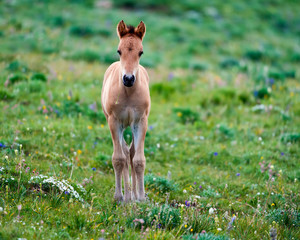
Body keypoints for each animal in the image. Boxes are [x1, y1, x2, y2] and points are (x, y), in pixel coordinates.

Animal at [101, 19, 150, 202]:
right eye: (119, 51)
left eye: (141, 52)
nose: (128, 79)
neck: (129, 93)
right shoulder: (114, 121)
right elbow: (118, 159)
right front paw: (119, 197)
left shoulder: (141, 121)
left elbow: (138, 160)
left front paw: (141, 198)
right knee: (124, 152)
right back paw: (127, 196)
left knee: (131, 152)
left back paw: (133, 195)